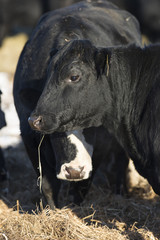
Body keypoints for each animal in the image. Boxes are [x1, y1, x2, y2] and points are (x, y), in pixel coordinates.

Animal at [13, 0, 141, 208]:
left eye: (91, 126)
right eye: (56, 131)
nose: (74, 171)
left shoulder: (102, 143)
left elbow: (81, 186)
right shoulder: (30, 136)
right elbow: (47, 185)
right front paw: (52, 211)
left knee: (119, 164)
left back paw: (119, 192)